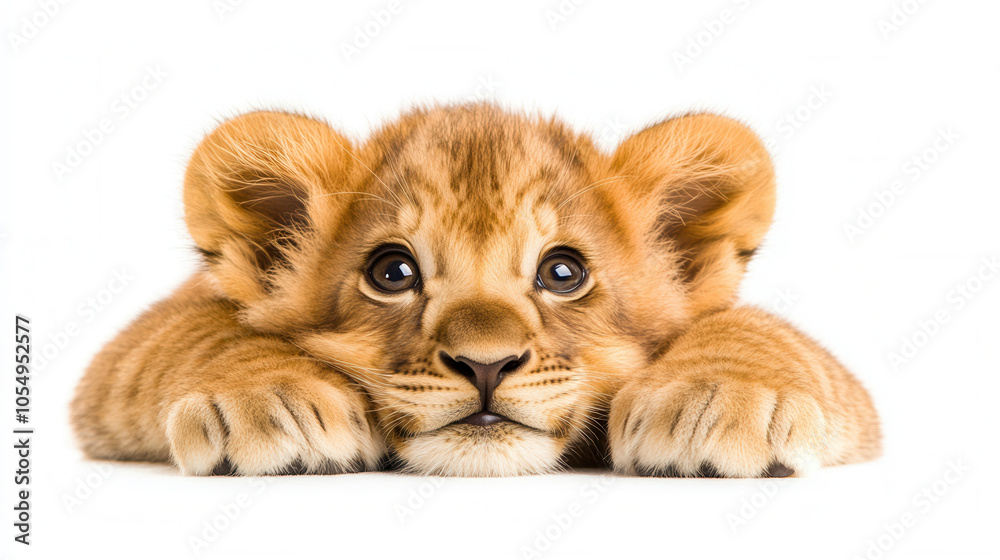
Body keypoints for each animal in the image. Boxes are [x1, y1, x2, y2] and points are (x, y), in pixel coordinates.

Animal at [70, 103, 881, 477]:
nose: (485, 365)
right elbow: (203, 325)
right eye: (392, 273)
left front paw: (721, 398)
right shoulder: (122, 367)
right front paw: (270, 397)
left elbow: (751, 329)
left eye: (563, 273)